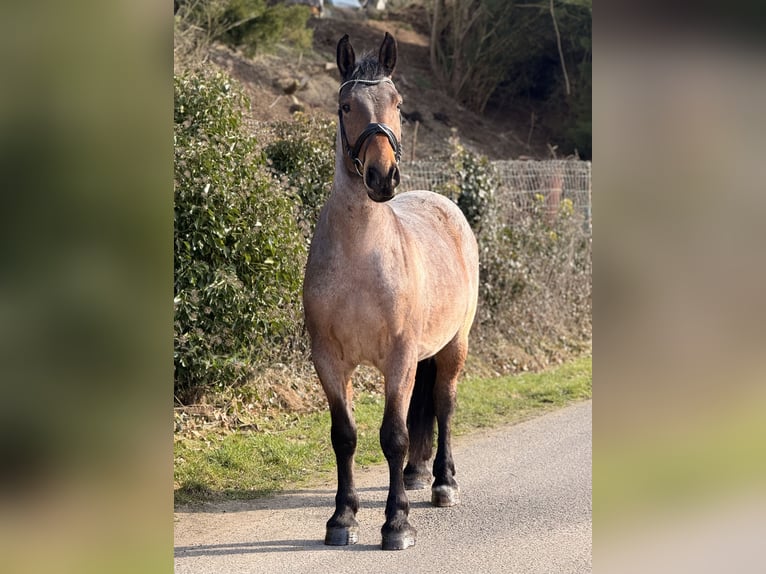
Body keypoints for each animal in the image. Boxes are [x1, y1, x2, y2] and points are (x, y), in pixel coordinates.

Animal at [303, 32, 479, 551]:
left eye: (397, 102)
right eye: (345, 106)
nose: (382, 177)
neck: (361, 256)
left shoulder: (399, 358)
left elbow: (394, 436)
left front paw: (396, 523)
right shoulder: (329, 361)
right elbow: (345, 436)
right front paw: (342, 518)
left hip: (454, 345)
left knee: (443, 404)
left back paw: (443, 482)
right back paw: (417, 474)